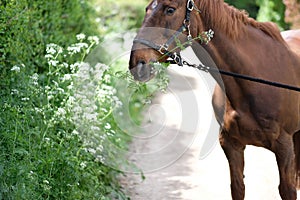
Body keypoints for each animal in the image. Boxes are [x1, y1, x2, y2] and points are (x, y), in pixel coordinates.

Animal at [129, 0, 300, 200]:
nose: (137, 63)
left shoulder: (283, 147)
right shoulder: (231, 144)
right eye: (147, 9)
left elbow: (287, 190)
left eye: (170, 10)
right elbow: (237, 187)